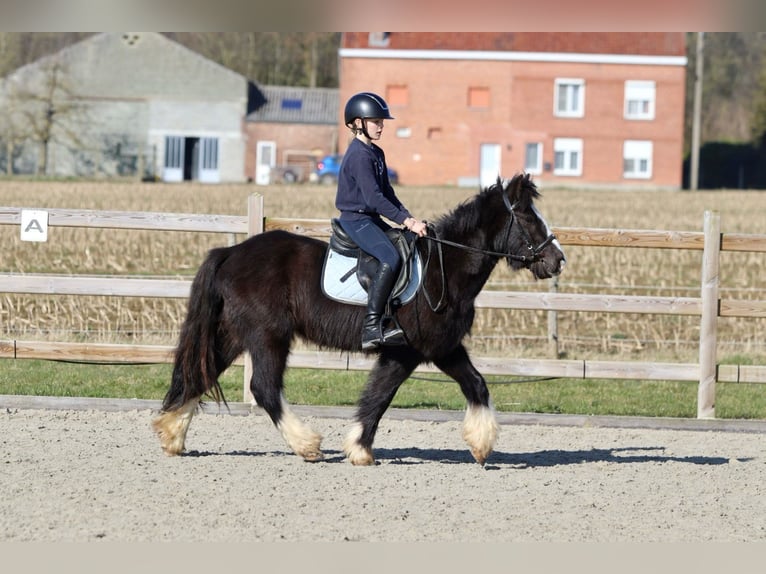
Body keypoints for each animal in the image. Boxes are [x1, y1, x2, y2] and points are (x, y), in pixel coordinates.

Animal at [153, 173, 568, 466]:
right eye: (527, 217)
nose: (558, 260)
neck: (445, 267)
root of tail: (231, 252)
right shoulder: (405, 351)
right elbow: (380, 396)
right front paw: (359, 449)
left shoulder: (443, 347)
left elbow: (477, 385)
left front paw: (481, 445)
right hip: (267, 335)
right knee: (264, 388)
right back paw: (307, 445)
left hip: (234, 334)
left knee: (200, 372)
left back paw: (172, 435)